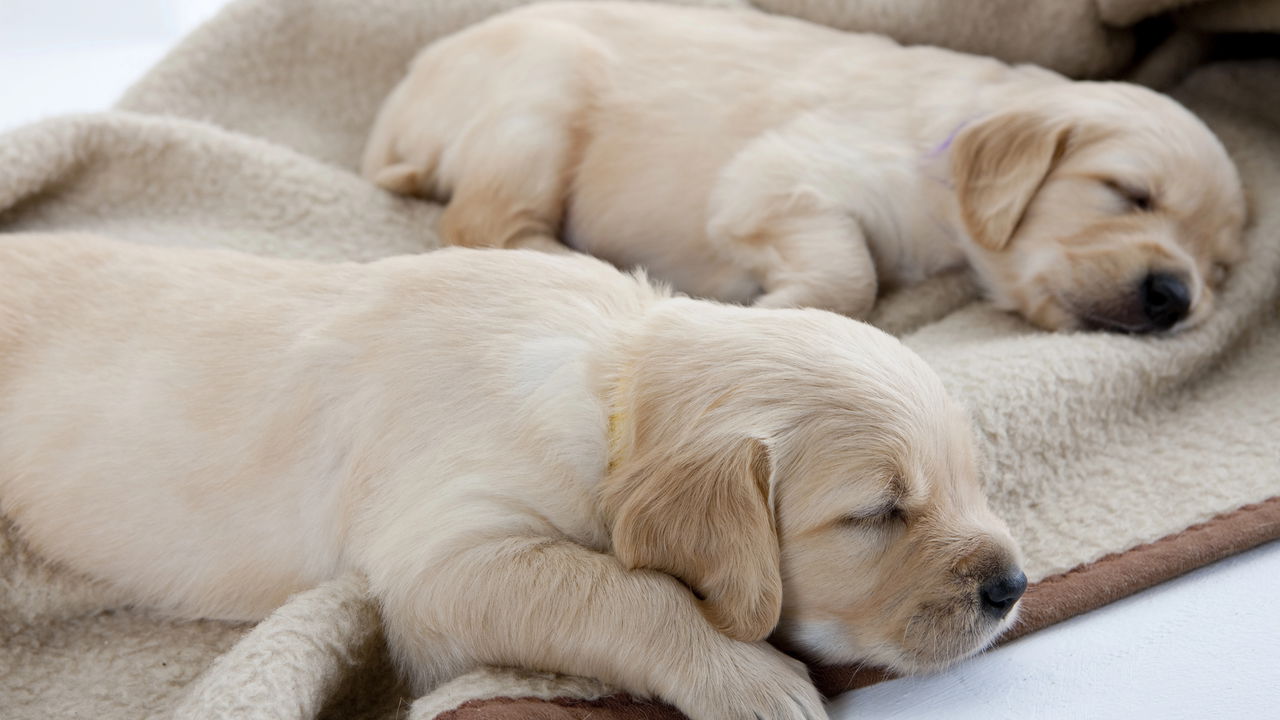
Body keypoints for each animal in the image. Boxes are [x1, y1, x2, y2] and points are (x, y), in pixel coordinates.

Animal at [0, 235, 1018, 717]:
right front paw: (748, 678)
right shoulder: (439, 566)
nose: (1011, 586)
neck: (611, 389)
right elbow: (625, 592)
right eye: (878, 513)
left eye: (972, 479)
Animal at [366, 1, 1244, 333]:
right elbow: (851, 276)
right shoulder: (780, 177)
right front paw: (772, 308)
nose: (1175, 298)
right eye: (1128, 194)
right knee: (483, 222)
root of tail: (396, 107)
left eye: (1219, 267)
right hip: (541, 90)